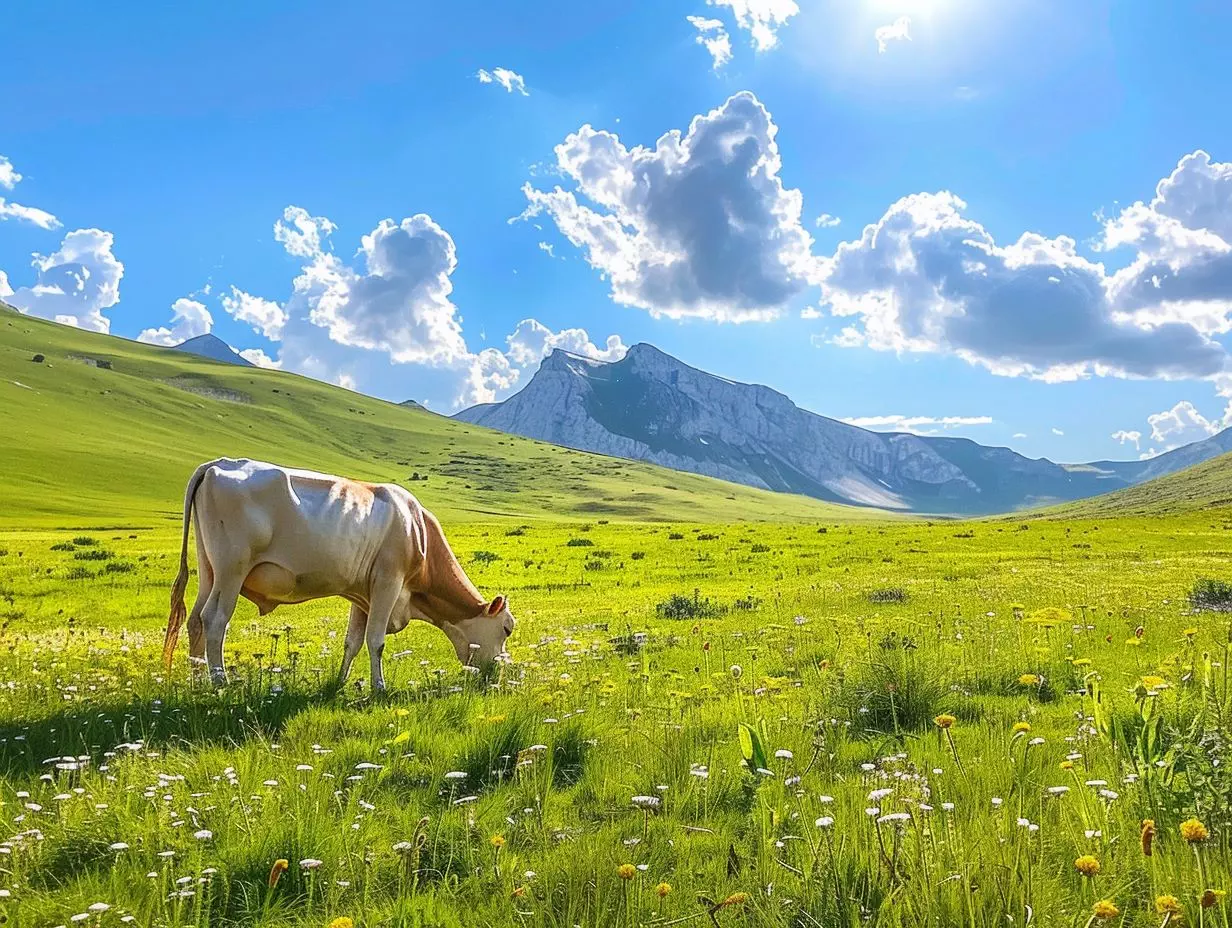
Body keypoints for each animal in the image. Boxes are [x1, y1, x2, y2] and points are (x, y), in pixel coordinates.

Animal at [162, 458, 514, 690]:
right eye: (507, 629)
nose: (499, 673)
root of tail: (219, 464)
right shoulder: (388, 582)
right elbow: (375, 641)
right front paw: (379, 688)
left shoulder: (363, 594)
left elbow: (353, 642)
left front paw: (340, 683)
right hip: (231, 570)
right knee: (214, 620)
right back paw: (219, 682)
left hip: (209, 570)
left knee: (194, 620)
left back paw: (197, 681)